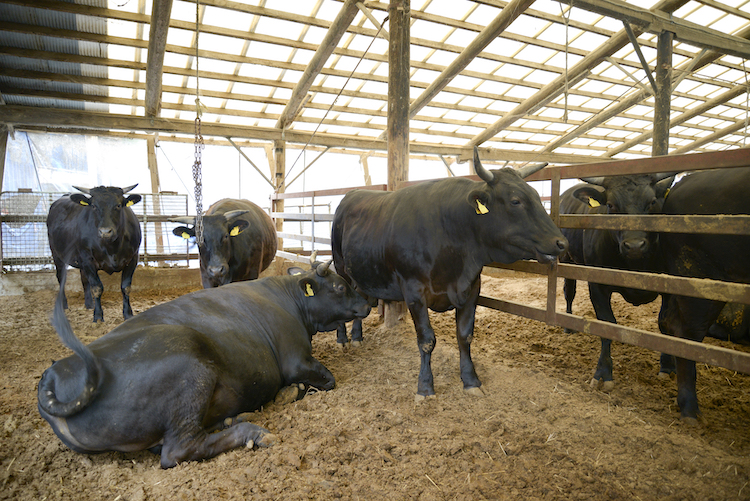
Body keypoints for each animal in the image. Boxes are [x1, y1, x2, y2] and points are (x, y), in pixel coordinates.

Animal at [38, 260, 374, 466]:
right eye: (340, 287)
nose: (368, 304)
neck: (291, 301)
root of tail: (56, 371)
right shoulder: (296, 359)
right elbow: (326, 379)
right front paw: (290, 392)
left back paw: (232, 419)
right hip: (191, 374)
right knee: (178, 449)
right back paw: (251, 432)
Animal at [46, 186, 144, 322]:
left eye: (118, 205)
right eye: (94, 206)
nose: (105, 232)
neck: (112, 248)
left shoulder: (133, 258)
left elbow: (126, 287)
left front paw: (128, 314)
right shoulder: (87, 259)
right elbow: (97, 288)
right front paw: (98, 316)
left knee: (84, 279)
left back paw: (89, 304)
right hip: (57, 254)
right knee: (61, 277)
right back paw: (64, 305)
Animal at [332, 146, 568, 400]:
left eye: (536, 196)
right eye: (516, 200)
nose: (562, 243)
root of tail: (352, 194)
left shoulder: (471, 288)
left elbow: (465, 336)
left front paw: (471, 380)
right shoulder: (414, 291)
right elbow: (426, 340)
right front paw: (425, 387)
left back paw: (357, 337)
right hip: (340, 267)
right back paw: (342, 340)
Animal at [560, 174, 680, 388]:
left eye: (652, 202)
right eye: (610, 205)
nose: (635, 246)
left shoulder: (670, 286)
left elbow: (664, 323)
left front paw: (667, 366)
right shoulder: (597, 286)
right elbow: (607, 323)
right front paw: (603, 373)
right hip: (567, 259)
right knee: (569, 291)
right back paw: (568, 324)